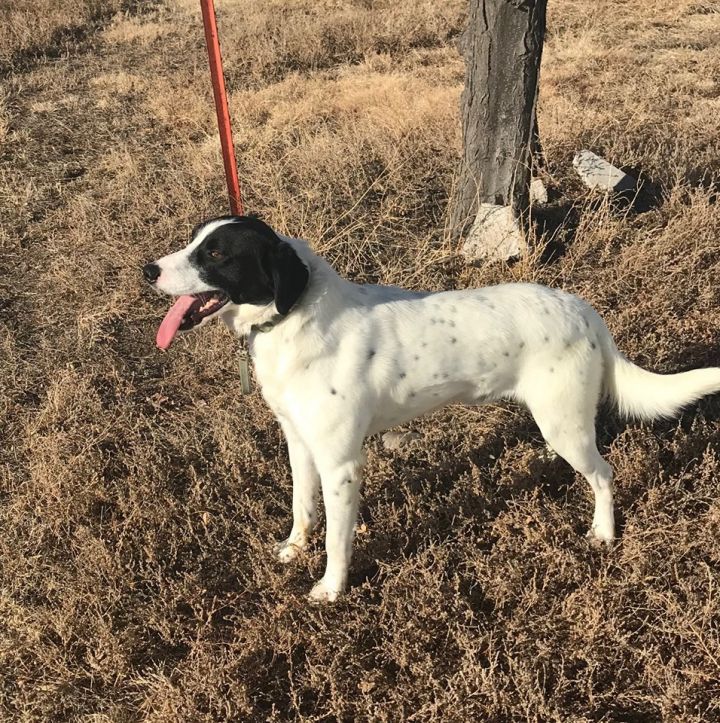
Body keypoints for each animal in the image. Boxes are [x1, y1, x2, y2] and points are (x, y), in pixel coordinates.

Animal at [143, 218, 720, 604]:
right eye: (195, 241)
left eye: (215, 253)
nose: (147, 269)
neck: (296, 317)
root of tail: (581, 308)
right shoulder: (300, 443)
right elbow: (302, 509)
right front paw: (293, 549)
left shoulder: (342, 466)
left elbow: (336, 539)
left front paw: (331, 587)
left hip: (565, 425)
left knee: (604, 473)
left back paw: (603, 532)